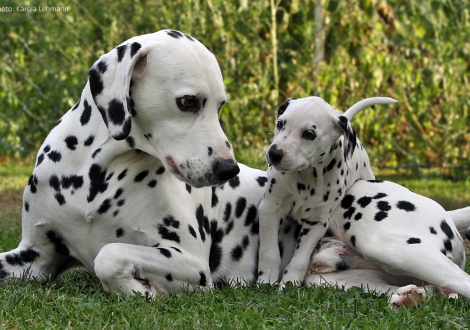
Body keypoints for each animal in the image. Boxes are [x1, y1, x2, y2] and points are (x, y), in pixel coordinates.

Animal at [258, 96, 396, 286]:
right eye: (280, 123)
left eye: (309, 134)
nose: (274, 154)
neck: (306, 179)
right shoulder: (270, 209)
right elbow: (269, 253)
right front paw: (266, 280)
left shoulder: (316, 224)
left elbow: (299, 261)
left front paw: (289, 283)